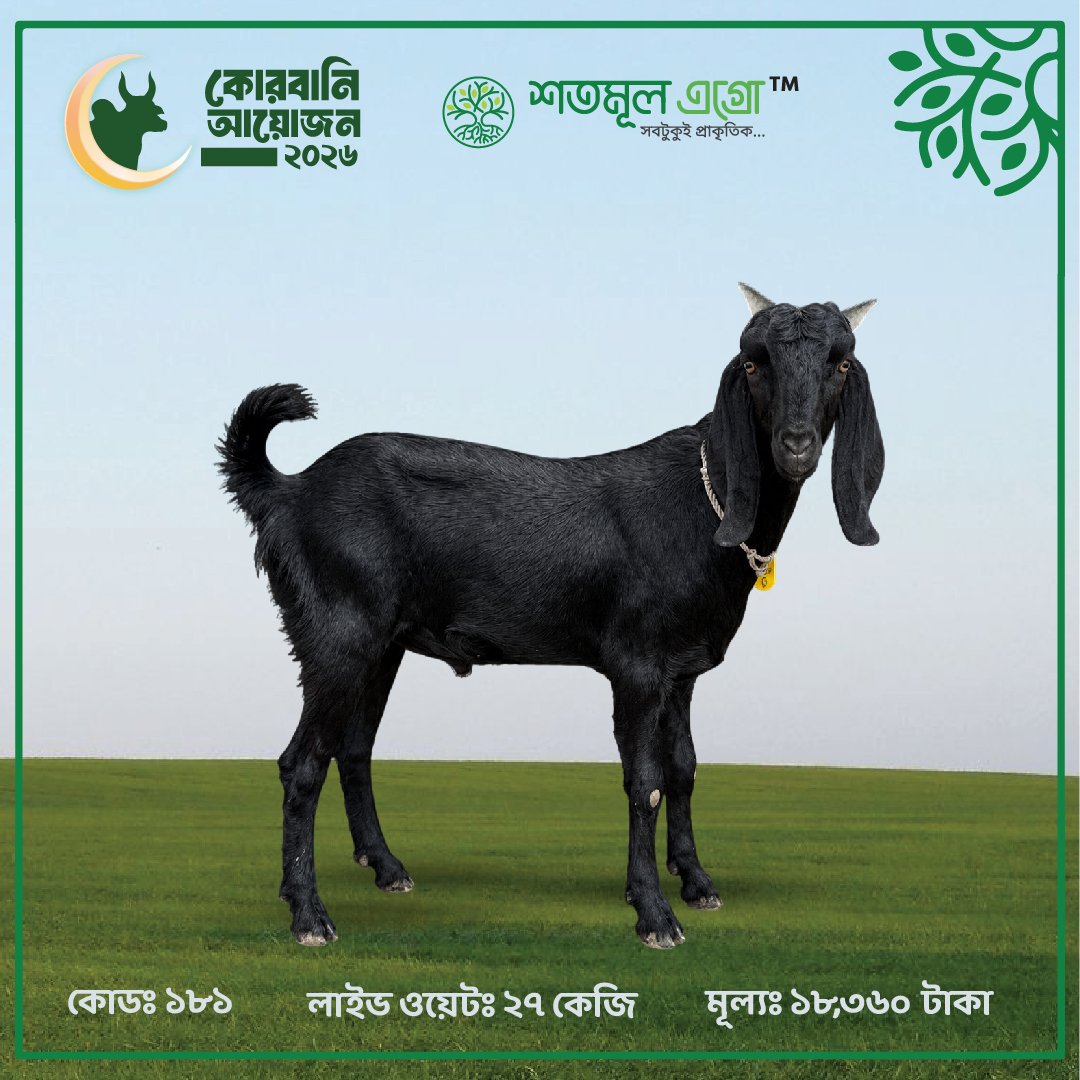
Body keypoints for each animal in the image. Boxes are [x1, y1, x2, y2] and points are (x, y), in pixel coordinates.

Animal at [218, 284, 884, 949]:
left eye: (839, 364)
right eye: (752, 364)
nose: (795, 446)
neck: (704, 503)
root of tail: (290, 492)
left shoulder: (682, 670)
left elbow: (684, 768)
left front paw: (697, 883)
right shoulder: (637, 664)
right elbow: (645, 781)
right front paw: (654, 914)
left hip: (383, 644)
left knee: (354, 748)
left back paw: (385, 868)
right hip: (336, 632)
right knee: (302, 763)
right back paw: (309, 915)